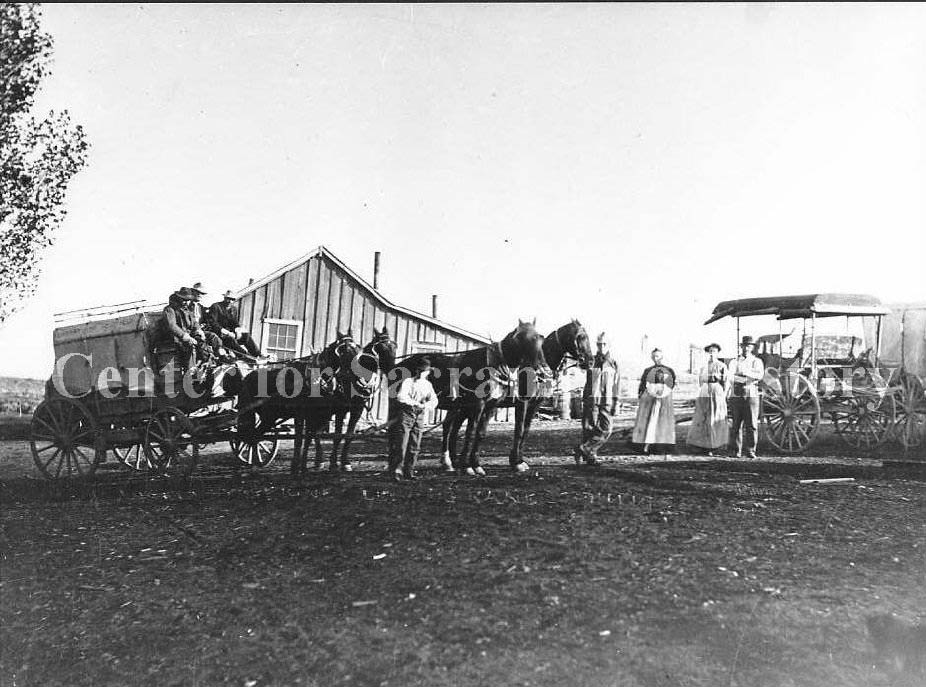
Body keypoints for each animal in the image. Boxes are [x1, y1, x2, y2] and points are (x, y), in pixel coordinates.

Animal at [236, 330, 362, 476]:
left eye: (359, 347)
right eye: (345, 349)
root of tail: (247, 377)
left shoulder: (314, 414)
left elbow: (308, 438)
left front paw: (304, 467)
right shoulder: (301, 414)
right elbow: (299, 440)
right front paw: (296, 468)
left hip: (269, 416)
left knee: (256, 435)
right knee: (253, 435)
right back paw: (255, 465)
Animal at [300, 328, 396, 472]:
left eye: (395, 346)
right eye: (381, 347)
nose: (394, 370)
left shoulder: (357, 409)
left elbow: (349, 435)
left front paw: (345, 462)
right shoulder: (341, 411)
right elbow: (338, 435)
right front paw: (334, 463)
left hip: (324, 413)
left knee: (315, 432)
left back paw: (317, 461)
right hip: (313, 412)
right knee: (310, 433)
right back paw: (309, 462)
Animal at [400, 320, 552, 476]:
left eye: (540, 337)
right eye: (521, 337)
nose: (543, 371)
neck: (494, 366)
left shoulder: (492, 406)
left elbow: (481, 434)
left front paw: (476, 465)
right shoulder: (483, 404)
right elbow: (472, 432)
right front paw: (468, 466)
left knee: (450, 428)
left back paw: (449, 462)